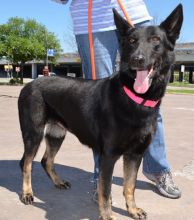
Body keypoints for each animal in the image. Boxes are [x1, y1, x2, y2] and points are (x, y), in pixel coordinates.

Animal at [17, 3, 182, 220]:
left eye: (156, 40)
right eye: (132, 41)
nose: (137, 59)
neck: (133, 97)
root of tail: (30, 84)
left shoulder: (135, 154)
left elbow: (130, 186)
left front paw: (132, 209)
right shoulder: (108, 156)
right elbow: (105, 190)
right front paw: (107, 215)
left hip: (56, 133)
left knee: (46, 161)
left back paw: (58, 182)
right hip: (34, 134)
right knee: (27, 164)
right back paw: (27, 193)